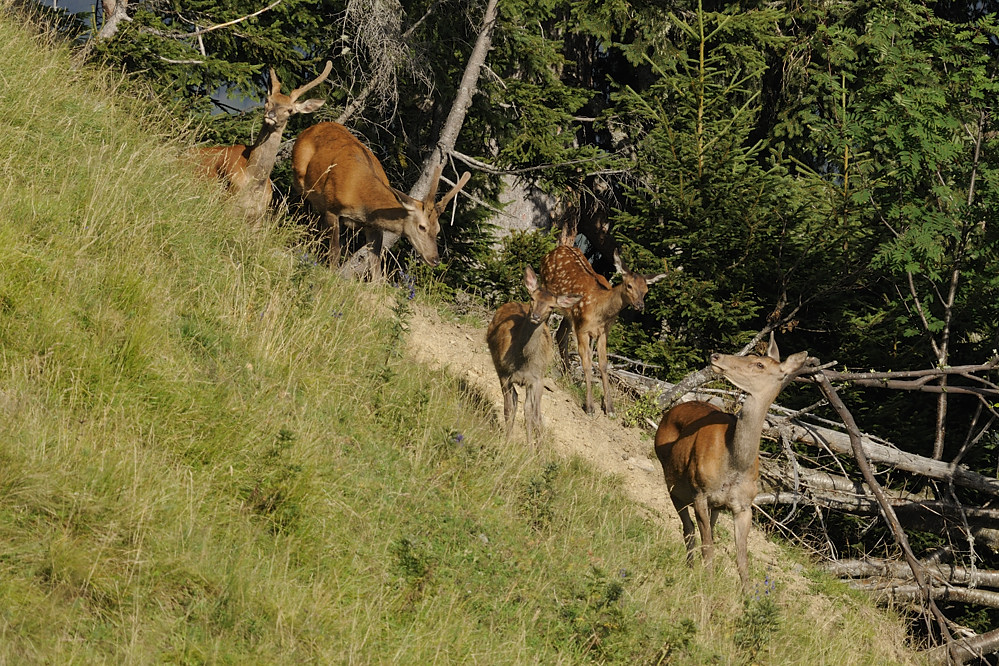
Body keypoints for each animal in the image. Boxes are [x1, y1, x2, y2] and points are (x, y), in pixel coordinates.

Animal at [195, 62, 332, 218]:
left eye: (290, 110)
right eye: (268, 101)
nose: (271, 115)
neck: (254, 182)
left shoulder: (259, 214)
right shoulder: (227, 203)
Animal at [290, 120, 472, 278]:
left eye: (438, 230)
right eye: (422, 227)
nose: (435, 259)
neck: (362, 201)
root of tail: (308, 129)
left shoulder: (374, 227)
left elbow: (376, 268)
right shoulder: (331, 208)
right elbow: (335, 252)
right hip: (300, 180)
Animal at [488, 264, 584, 440]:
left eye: (552, 306)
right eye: (532, 298)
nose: (536, 316)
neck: (523, 361)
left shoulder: (536, 380)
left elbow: (530, 414)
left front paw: (530, 446)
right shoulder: (504, 374)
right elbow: (509, 408)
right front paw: (507, 441)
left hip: (539, 380)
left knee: (536, 413)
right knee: (515, 400)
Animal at [540, 244, 664, 416]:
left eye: (646, 290)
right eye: (629, 285)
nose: (640, 306)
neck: (600, 311)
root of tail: (557, 248)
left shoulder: (603, 332)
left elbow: (603, 364)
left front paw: (610, 408)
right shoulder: (583, 329)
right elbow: (586, 362)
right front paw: (590, 407)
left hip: (570, 314)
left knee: (560, 335)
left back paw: (568, 376)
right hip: (546, 290)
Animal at [656, 334, 812, 588]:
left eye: (759, 364)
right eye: (752, 356)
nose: (716, 356)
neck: (734, 464)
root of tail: (671, 410)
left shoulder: (744, 505)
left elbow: (742, 558)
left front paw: (747, 594)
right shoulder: (700, 492)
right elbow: (708, 546)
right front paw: (708, 584)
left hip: (714, 504)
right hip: (673, 484)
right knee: (688, 529)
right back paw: (690, 568)